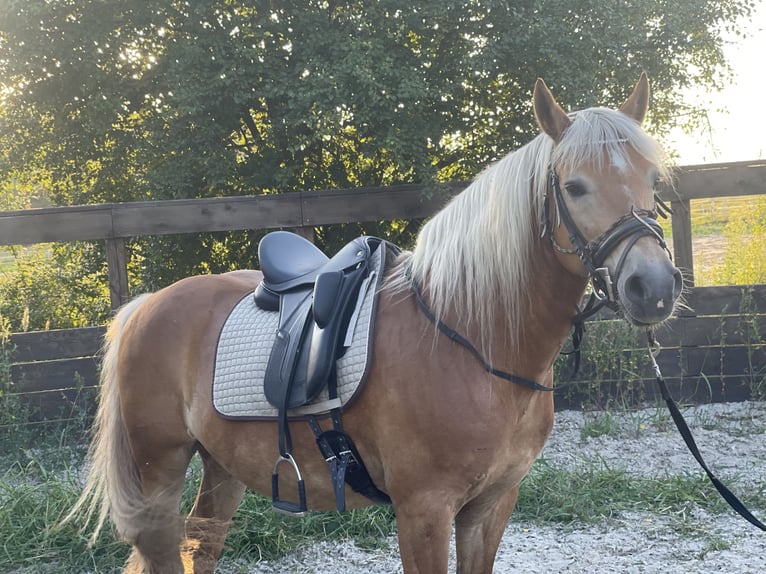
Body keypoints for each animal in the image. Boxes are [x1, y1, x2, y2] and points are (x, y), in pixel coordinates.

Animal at [64, 76, 684, 574]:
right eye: (574, 186)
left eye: (654, 180)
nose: (653, 287)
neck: (469, 340)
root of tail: (146, 305)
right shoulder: (423, 511)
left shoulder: (491, 506)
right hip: (160, 469)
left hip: (222, 466)